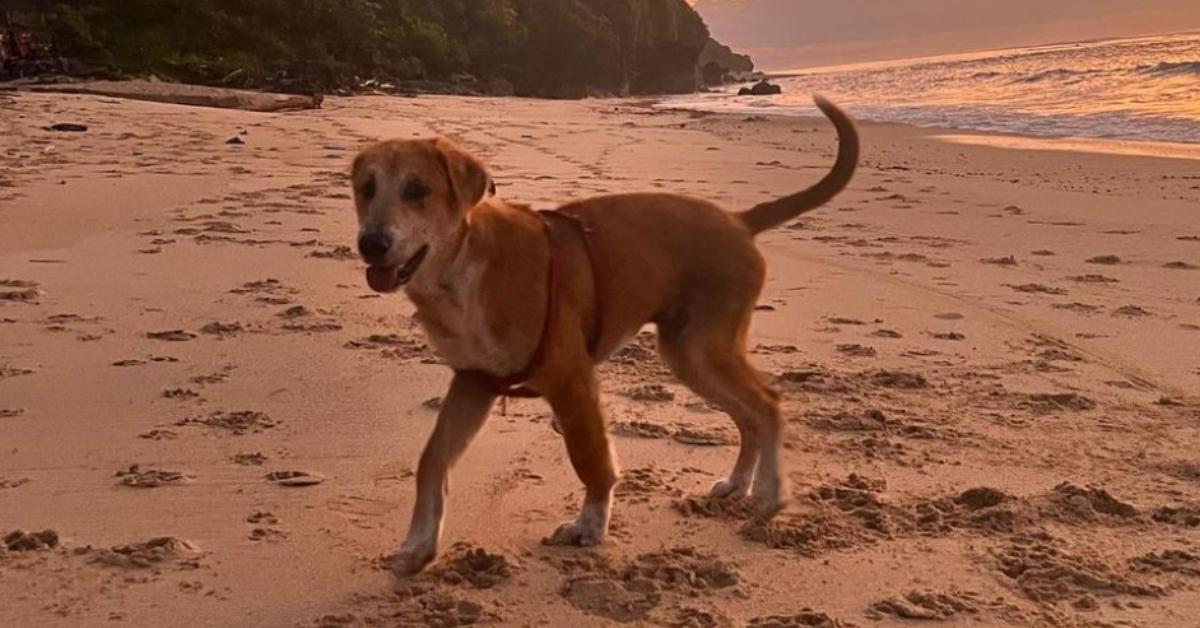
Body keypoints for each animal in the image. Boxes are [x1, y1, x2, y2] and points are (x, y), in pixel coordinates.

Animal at [350, 97, 859, 573]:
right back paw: (737, 485)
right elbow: (431, 460)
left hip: (705, 346)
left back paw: (771, 497)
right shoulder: (473, 381)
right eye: (365, 189)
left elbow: (589, 456)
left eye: (418, 190)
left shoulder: (569, 378)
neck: (462, 272)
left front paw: (589, 527)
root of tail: (739, 219)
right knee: (747, 415)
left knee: (767, 404)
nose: (370, 245)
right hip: (687, 353)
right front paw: (418, 546)